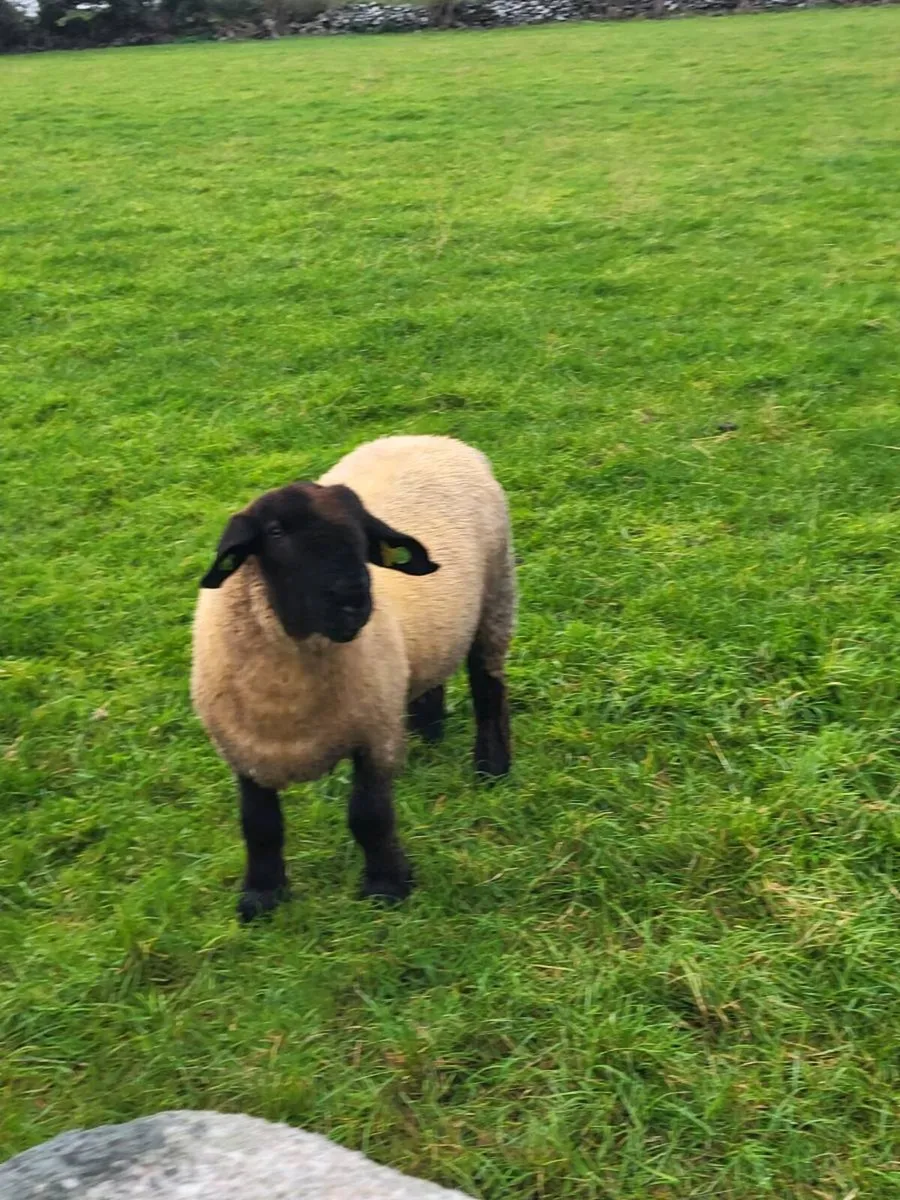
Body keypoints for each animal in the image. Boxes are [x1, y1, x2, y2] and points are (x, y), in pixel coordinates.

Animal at [191, 435, 515, 922]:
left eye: (362, 533)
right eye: (275, 533)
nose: (353, 600)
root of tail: (433, 438)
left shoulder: (372, 734)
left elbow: (368, 815)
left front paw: (387, 887)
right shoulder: (244, 750)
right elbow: (259, 825)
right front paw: (262, 897)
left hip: (496, 594)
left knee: (487, 684)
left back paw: (492, 766)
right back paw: (427, 732)